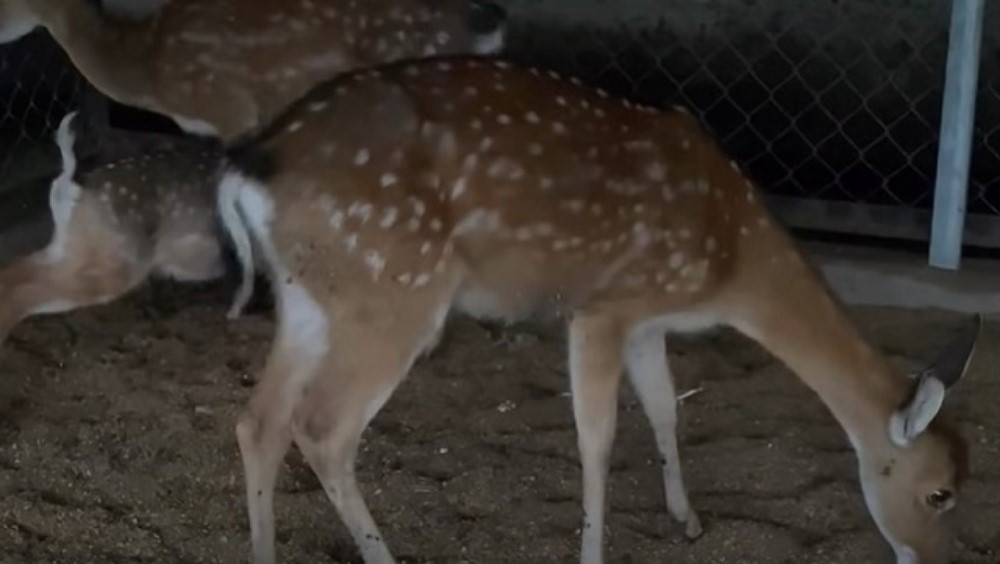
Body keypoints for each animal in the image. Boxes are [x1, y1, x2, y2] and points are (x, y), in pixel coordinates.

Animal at [215, 57, 980, 564]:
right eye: (939, 494)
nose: (935, 560)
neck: (729, 263)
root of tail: (245, 171)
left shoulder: (648, 322)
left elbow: (667, 408)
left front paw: (687, 519)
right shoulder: (604, 307)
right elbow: (598, 437)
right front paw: (594, 550)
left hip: (311, 294)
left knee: (260, 418)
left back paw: (263, 553)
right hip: (393, 289)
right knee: (323, 427)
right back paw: (382, 555)